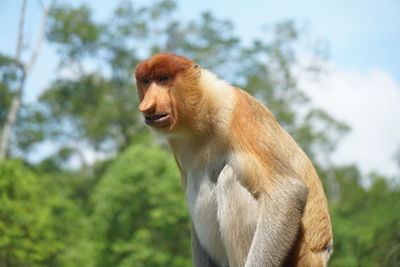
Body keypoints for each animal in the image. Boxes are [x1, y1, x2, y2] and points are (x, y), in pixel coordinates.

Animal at [136, 53, 332, 266]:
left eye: (163, 79)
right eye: (146, 82)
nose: (146, 105)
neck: (201, 114)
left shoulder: (237, 111)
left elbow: (287, 191)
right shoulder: (176, 142)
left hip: (298, 254)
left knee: (229, 178)